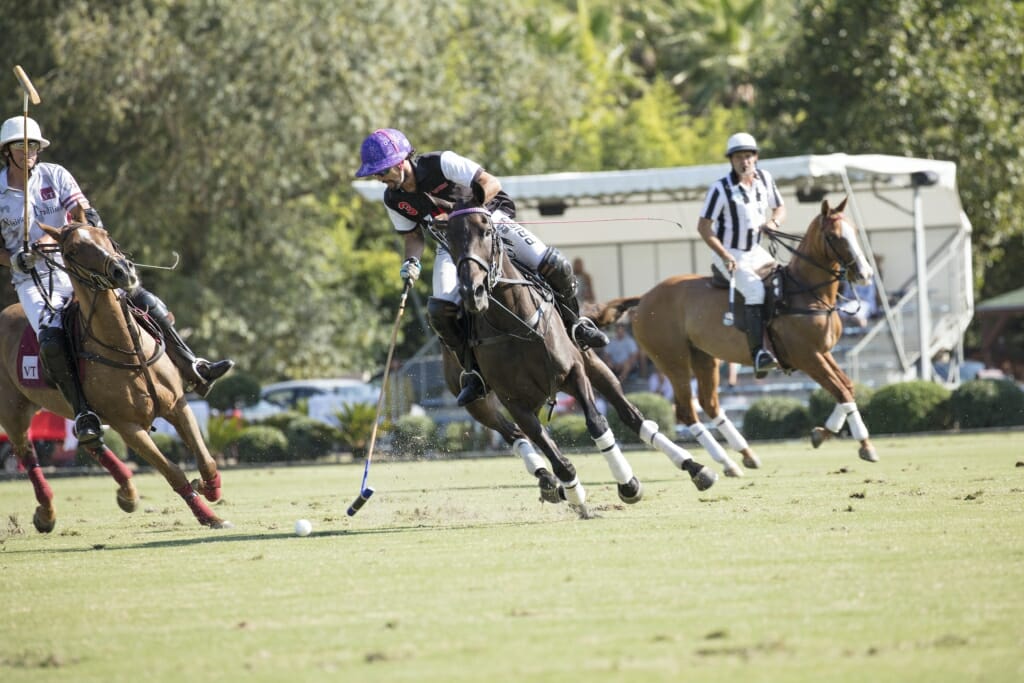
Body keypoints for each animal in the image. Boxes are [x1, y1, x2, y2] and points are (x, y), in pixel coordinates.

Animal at [1, 222, 230, 532]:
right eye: (72, 250)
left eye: (105, 236)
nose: (123, 271)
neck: (127, 348)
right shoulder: (129, 427)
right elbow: (173, 472)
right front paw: (208, 516)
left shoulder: (177, 406)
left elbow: (206, 460)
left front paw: (210, 487)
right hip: (13, 412)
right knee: (27, 452)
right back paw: (46, 513)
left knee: (89, 440)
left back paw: (127, 493)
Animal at [448, 197, 720, 511]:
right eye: (449, 239)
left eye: (486, 231)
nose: (473, 292)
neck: (514, 323)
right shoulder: (514, 400)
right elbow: (547, 445)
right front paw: (573, 491)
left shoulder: (573, 373)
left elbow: (597, 422)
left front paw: (627, 484)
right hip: (481, 404)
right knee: (514, 433)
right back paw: (551, 484)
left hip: (594, 365)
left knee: (632, 415)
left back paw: (696, 468)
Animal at [598, 197, 876, 471]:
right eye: (834, 236)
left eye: (853, 230)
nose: (865, 274)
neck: (807, 293)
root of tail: (644, 297)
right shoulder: (807, 356)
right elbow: (841, 391)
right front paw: (865, 445)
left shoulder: (822, 352)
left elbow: (847, 387)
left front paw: (822, 433)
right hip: (672, 359)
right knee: (687, 410)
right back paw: (720, 462)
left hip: (703, 356)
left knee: (709, 403)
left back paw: (742, 455)